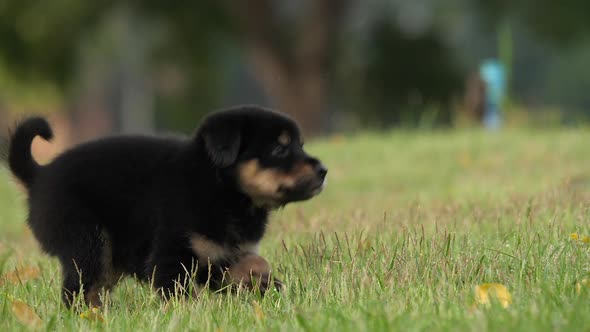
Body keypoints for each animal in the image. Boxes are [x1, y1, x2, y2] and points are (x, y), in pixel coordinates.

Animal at [5, 105, 328, 306]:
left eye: (300, 145)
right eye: (279, 149)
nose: (324, 170)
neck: (222, 189)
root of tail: (40, 176)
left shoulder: (221, 255)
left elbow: (255, 263)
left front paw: (269, 286)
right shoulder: (170, 256)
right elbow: (182, 295)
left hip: (109, 257)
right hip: (87, 242)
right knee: (77, 292)